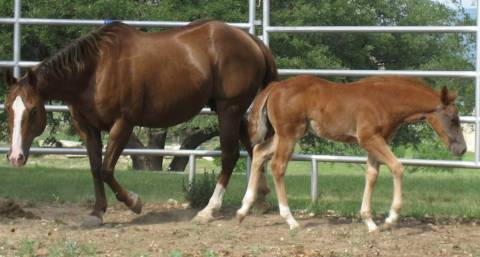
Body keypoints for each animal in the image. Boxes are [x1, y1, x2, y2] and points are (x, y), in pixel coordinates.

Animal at [238, 75, 466, 231]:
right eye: (453, 119)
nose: (461, 149)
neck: (386, 100)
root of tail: (276, 86)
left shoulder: (377, 141)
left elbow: (372, 175)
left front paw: (370, 222)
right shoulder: (369, 138)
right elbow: (397, 167)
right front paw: (391, 218)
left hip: (283, 135)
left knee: (259, 152)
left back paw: (243, 210)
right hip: (289, 135)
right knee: (277, 166)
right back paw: (290, 220)